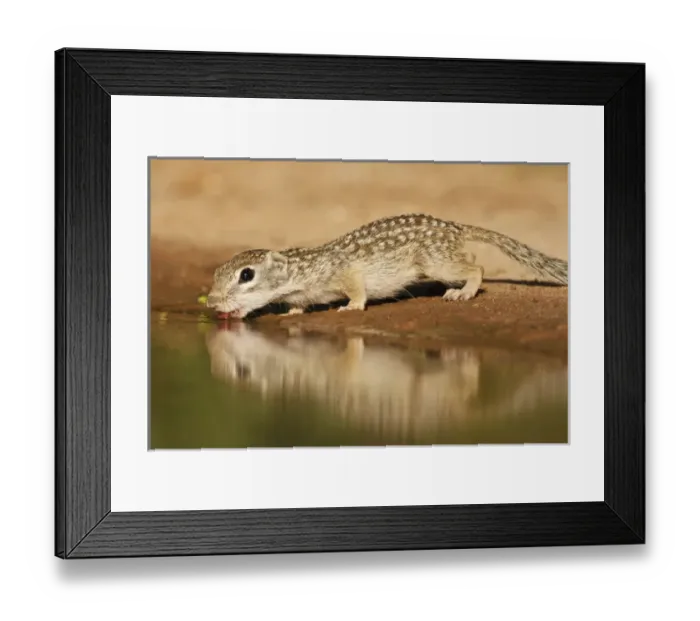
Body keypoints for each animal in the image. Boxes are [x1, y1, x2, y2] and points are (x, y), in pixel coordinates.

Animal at [206, 213, 568, 319]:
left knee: (476, 268)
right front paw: (291, 314)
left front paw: (352, 306)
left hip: (436, 263)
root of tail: (455, 226)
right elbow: (299, 306)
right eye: (217, 272)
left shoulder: (343, 271)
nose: (210, 302)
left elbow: (355, 288)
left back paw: (463, 292)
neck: (299, 271)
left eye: (246, 275)